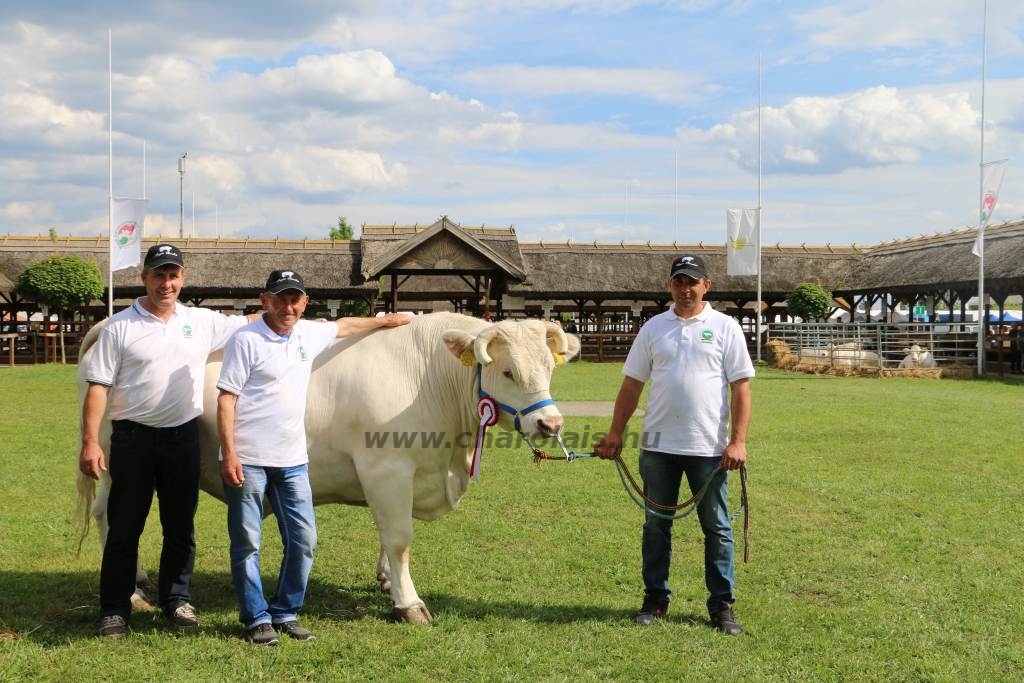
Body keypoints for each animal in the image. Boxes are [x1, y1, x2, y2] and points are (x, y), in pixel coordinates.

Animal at [75, 313, 581, 626]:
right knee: (111, 518)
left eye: (549, 369)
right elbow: (400, 539)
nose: (550, 423)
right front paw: (409, 603)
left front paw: (386, 583)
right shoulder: (387, 469)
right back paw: (133, 594)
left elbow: (387, 537)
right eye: (508, 372)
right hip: (116, 463)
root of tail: (108, 323)